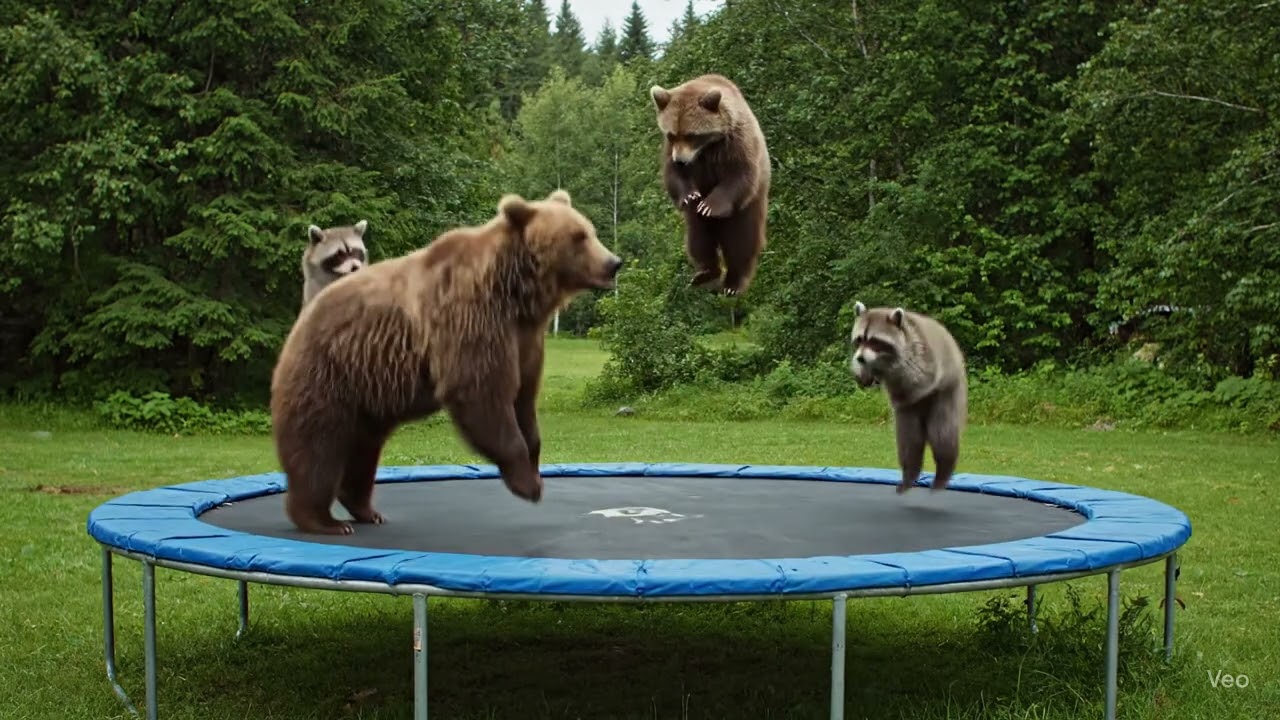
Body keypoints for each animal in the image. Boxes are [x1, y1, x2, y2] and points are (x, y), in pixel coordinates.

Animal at [269, 189, 623, 535]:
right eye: (579, 237)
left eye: (590, 231)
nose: (613, 263)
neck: (516, 292)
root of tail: (303, 317)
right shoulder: (470, 318)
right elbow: (481, 392)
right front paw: (527, 484)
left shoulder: (525, 339)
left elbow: (524, 400)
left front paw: (535, 467)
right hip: (328, 373)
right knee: (317, 448)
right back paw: (323, 520)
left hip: (367, 395)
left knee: (362, 451)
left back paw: (365, 509)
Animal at [649, 73, 771, 296]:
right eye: (672, 133)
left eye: (691, 134)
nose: (681, 160)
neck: (707, 148)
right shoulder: (673, 152)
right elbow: (673, 176)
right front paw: (691, 196)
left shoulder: (736, 142)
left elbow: (741, 174)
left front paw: (709, 206)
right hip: (695, 224)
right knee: (699, 239)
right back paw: (705, 273)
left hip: (749, 207)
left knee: (742, 241)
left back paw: (733, 284)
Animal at [849, 301, 968, 494]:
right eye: (859, 339)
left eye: (874, 341)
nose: (860, 358)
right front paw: (864, 375)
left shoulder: (921, 354)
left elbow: (923, 379)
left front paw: (889, 382)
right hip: (908, 420)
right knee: (909, 443)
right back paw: (909, 476)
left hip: (949, 395)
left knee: (943, 437)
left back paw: (942, 475)